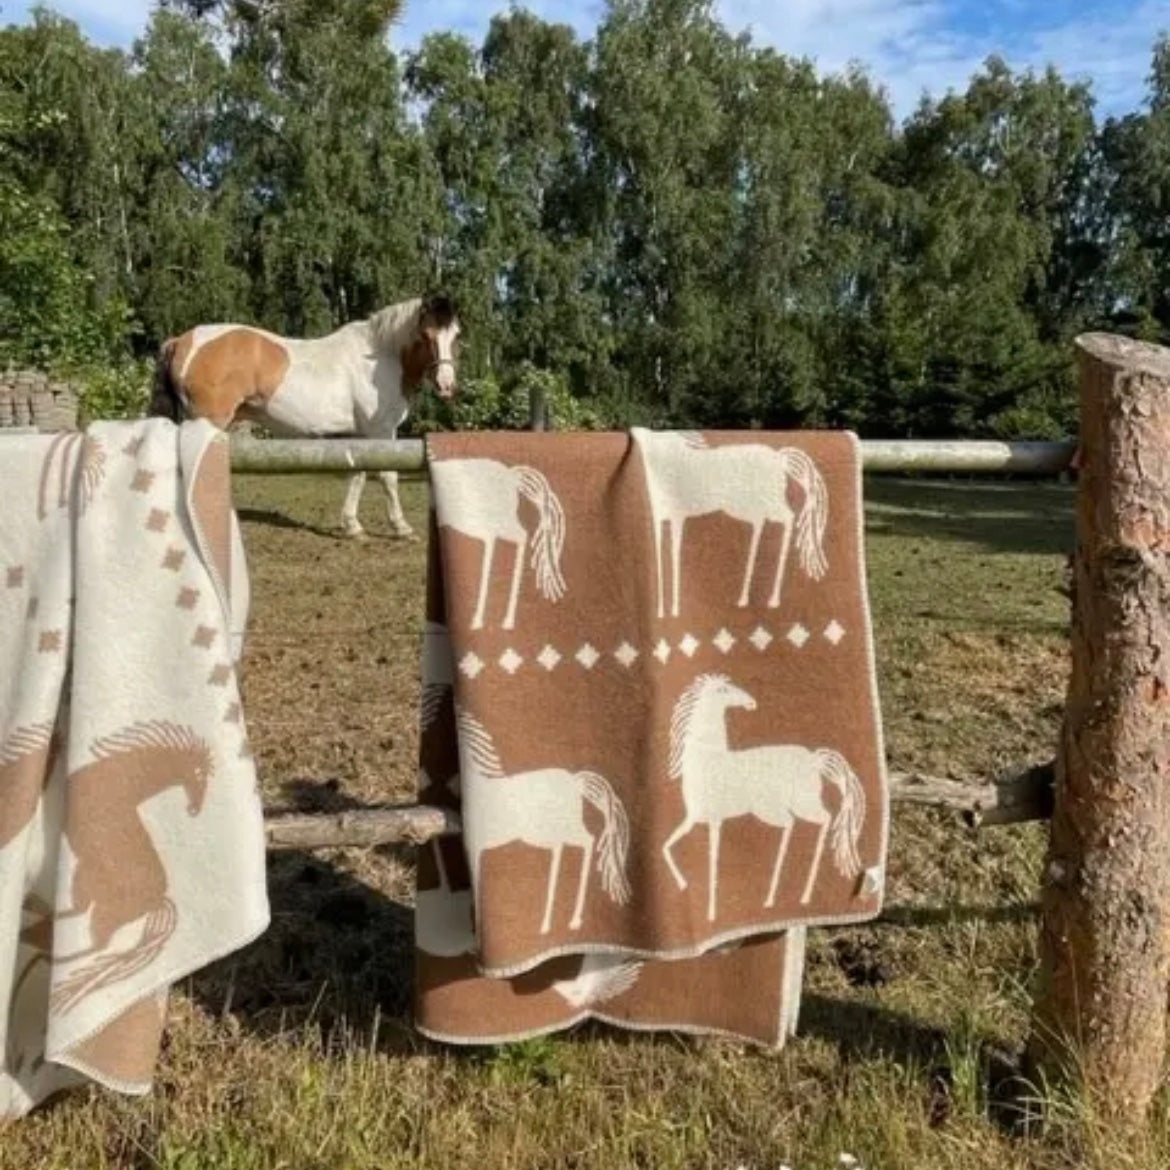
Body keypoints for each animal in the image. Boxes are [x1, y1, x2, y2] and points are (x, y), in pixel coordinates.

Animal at [150, 294, 462, 541]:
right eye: (426, 335)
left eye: (456, 335)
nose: (446, 385)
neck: (380, 357)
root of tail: (182, 341)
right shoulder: (382, 430)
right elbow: (388, 477)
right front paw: (402, 528)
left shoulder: (361, 434)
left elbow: (357, 475)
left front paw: (352, 526)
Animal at [456, 706, 630, 936]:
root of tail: (575, 780)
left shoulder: (476, 848)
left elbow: (477, 887)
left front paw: (479, 927)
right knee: (575, 846)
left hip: (558, 829)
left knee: (585, 842)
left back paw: (562, 922)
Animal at [633, 430, 829, 618]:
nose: (635, 432)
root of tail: (779, 457)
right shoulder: (658, 518)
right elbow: (659, 553)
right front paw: (661, 610)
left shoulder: (677, 516)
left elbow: (674, 554)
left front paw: (673, 609)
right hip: (751, 505)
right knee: (760, 524)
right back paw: (745, 597)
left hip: (767, 501)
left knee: (787, 518)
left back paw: (772, 599)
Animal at [661, 674, 866, 921]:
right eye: (724, 690)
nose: (751, 702)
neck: (706, 759)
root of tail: (814, 759)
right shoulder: (693, 819)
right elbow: (666, 846)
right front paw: (683, 885)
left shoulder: (714, 820)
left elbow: (711, 861)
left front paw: (711, 912)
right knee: (799, 823)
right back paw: (783, 897)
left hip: (791, 805)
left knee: (816, 820)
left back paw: (794, 894)